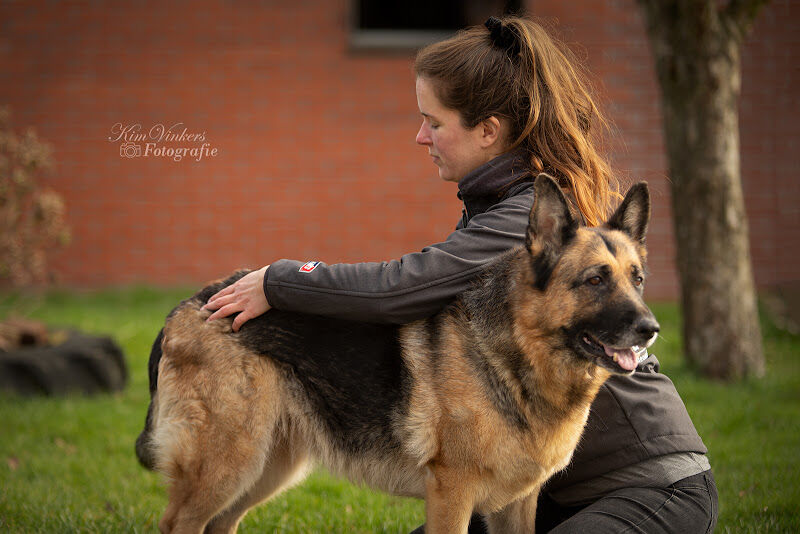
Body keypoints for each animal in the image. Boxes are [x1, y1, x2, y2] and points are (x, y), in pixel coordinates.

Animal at [138, 177, 660, 534]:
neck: (517, 355)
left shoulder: (517, 504)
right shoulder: (451, 496)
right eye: (595, 280)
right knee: (179, 523)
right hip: (229, 462)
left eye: (637, 279)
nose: (651, 330)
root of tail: (187, 305)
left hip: (266, 466)